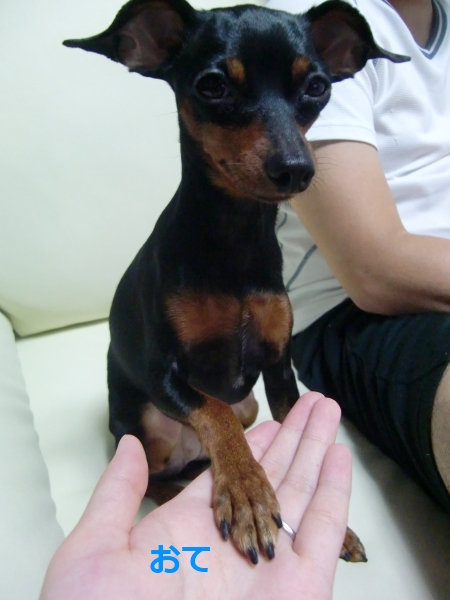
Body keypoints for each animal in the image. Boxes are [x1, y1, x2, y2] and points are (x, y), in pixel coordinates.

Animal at [64, 0, 408, 564]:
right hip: (143, 430)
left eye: (317, 87)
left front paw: (336, 530)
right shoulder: (163, 374)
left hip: (249, 406)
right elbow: (215, 411)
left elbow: (279, 425)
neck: (237, 237)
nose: (296, 168)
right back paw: (177, 493)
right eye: (212, 86)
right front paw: (248, 490)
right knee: (156, 478)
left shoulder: (279, 369)